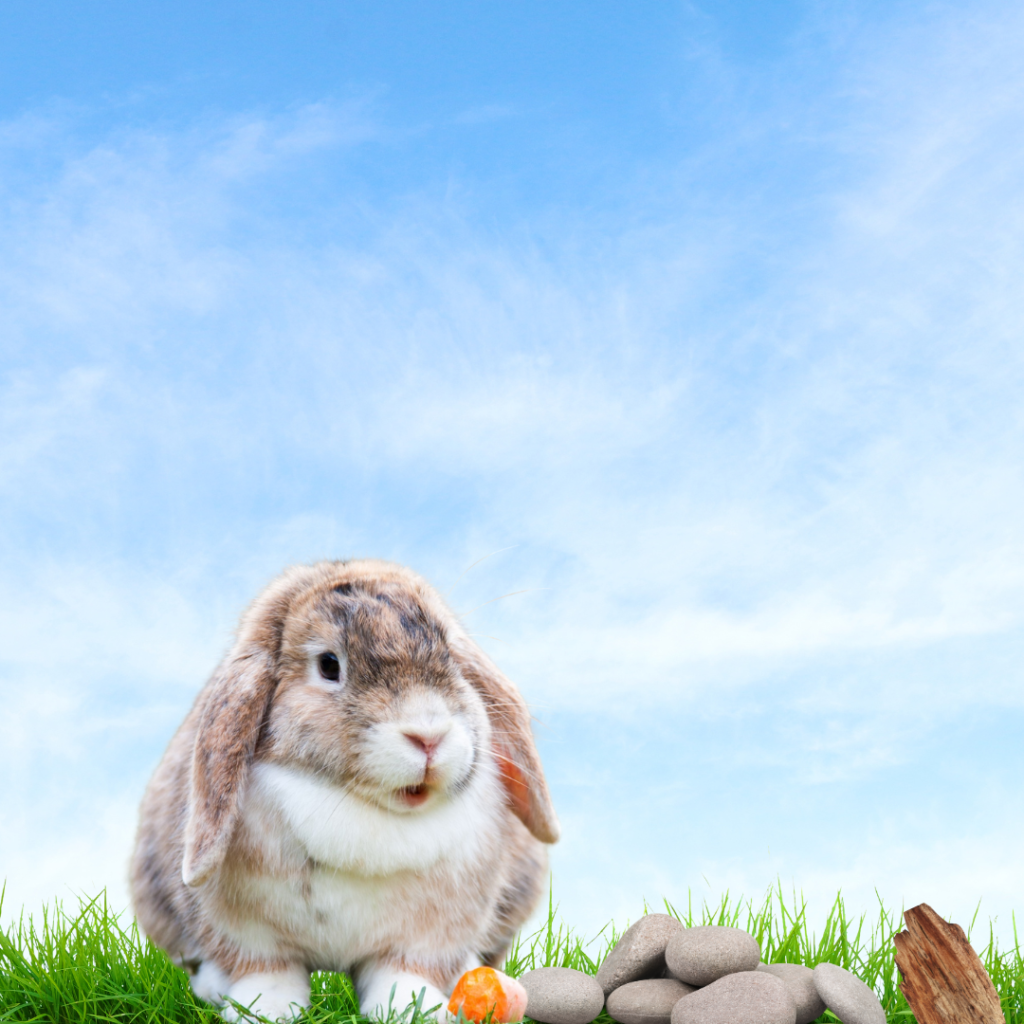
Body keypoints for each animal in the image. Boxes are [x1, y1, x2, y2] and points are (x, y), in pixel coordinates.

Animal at [129, 559, 559, 1022]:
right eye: (329, 665)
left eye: (449, 654)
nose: (429, 736)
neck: (360, 808)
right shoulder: (245, 932)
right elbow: (265, 970)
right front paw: (266, 1010)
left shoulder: (428, 935)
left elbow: (403, 972)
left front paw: (412, 1009)